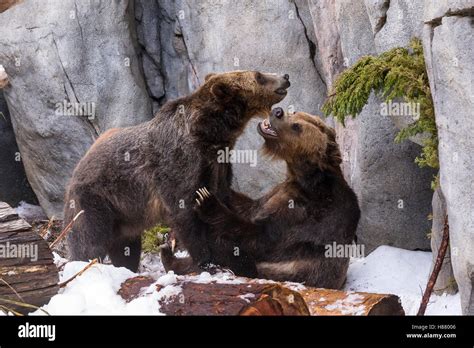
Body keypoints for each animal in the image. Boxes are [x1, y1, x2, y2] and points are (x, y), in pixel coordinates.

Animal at [65, 70, 290, 272]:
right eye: (259, 76)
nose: (285, 77)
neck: (210, 135)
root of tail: (75, 172)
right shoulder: (179, 163)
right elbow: (184, 211)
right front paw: (206, 261)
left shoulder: (219, 165)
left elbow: (221, 202)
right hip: (96, 200)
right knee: (88, 240)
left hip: (123, 216)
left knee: (126, 247)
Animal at [161, 106, 362, 288]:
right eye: (295, 112)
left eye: (297, 126)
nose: (278, 111)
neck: (303, 177)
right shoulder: (278, 193)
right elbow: (248, 206)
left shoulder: (305, 214)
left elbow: (261, 238)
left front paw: (207, 202)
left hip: (282, 271)